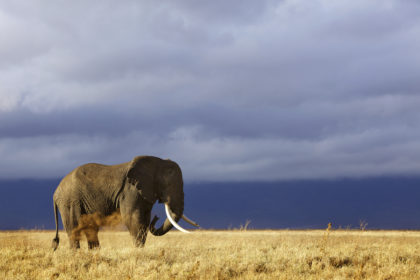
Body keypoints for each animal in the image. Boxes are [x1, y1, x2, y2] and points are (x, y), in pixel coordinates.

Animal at [51, 155, 199, 249]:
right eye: (168, 185)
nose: (157, 217)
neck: (157, 162)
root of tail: (55, 193)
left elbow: (144, 220)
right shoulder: (130, 190)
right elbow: (132, 218)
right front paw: (138, 250)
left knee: (91, 229)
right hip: (70, 201)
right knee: (74, 228)